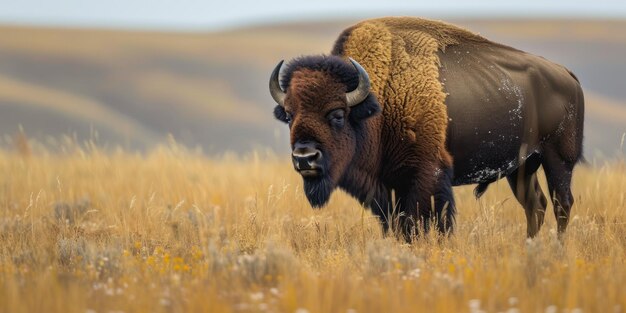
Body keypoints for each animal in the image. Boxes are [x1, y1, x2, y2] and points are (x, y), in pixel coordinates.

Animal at [266, 17, 580, 239]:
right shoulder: (387, 188)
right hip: (522, 166)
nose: (304, 157)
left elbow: (427, 223)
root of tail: (567, 75)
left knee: (561, 204)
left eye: (338, 114)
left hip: (558, 159)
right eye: (289, 115)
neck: (379, 98)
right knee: (535, 205)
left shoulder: (427, 176)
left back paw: (557, 249)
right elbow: (397, 226)